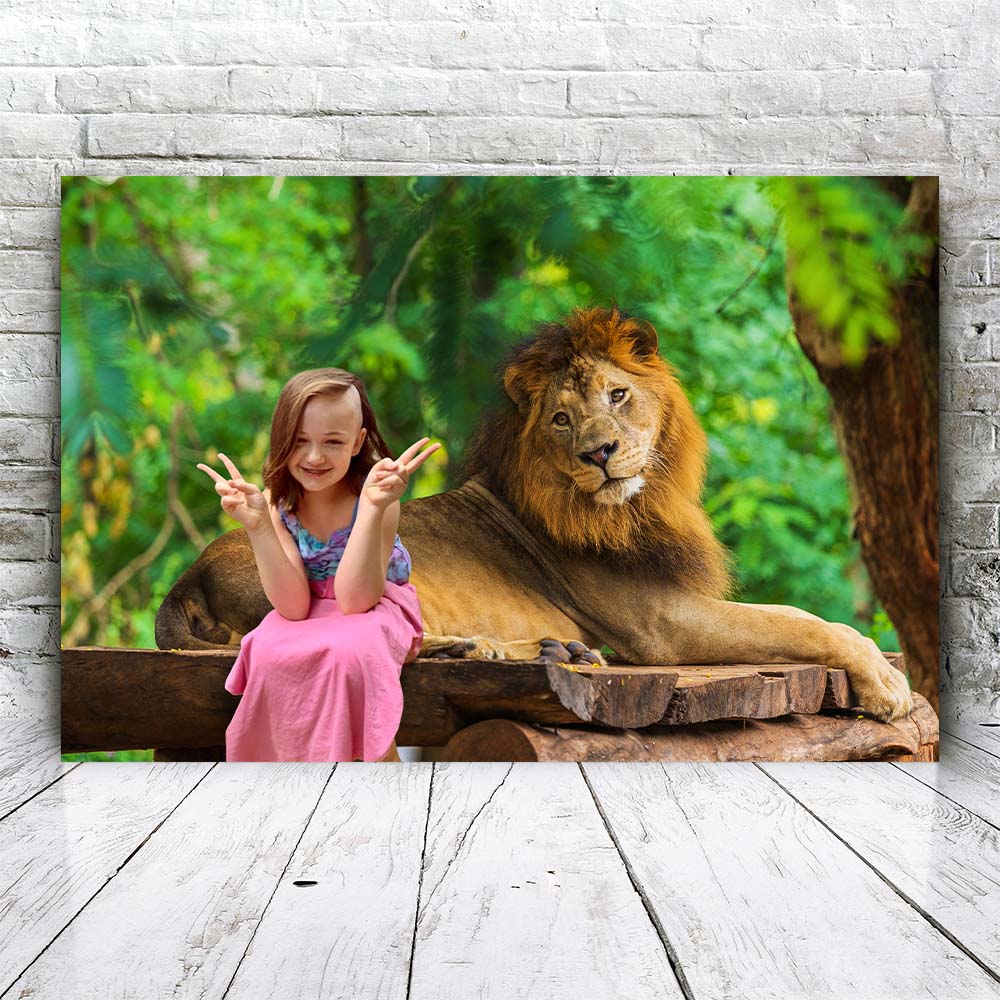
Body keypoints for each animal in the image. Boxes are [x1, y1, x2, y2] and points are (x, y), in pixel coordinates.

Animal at [155, 306, 913, 722]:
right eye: (560, 418)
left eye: (617, 395)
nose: (600, 453)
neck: (640, 506)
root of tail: (185, 579)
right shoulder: (661, 624)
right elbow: (805, 623)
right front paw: (887, 684)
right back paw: (504, 649)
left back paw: (548, 650)